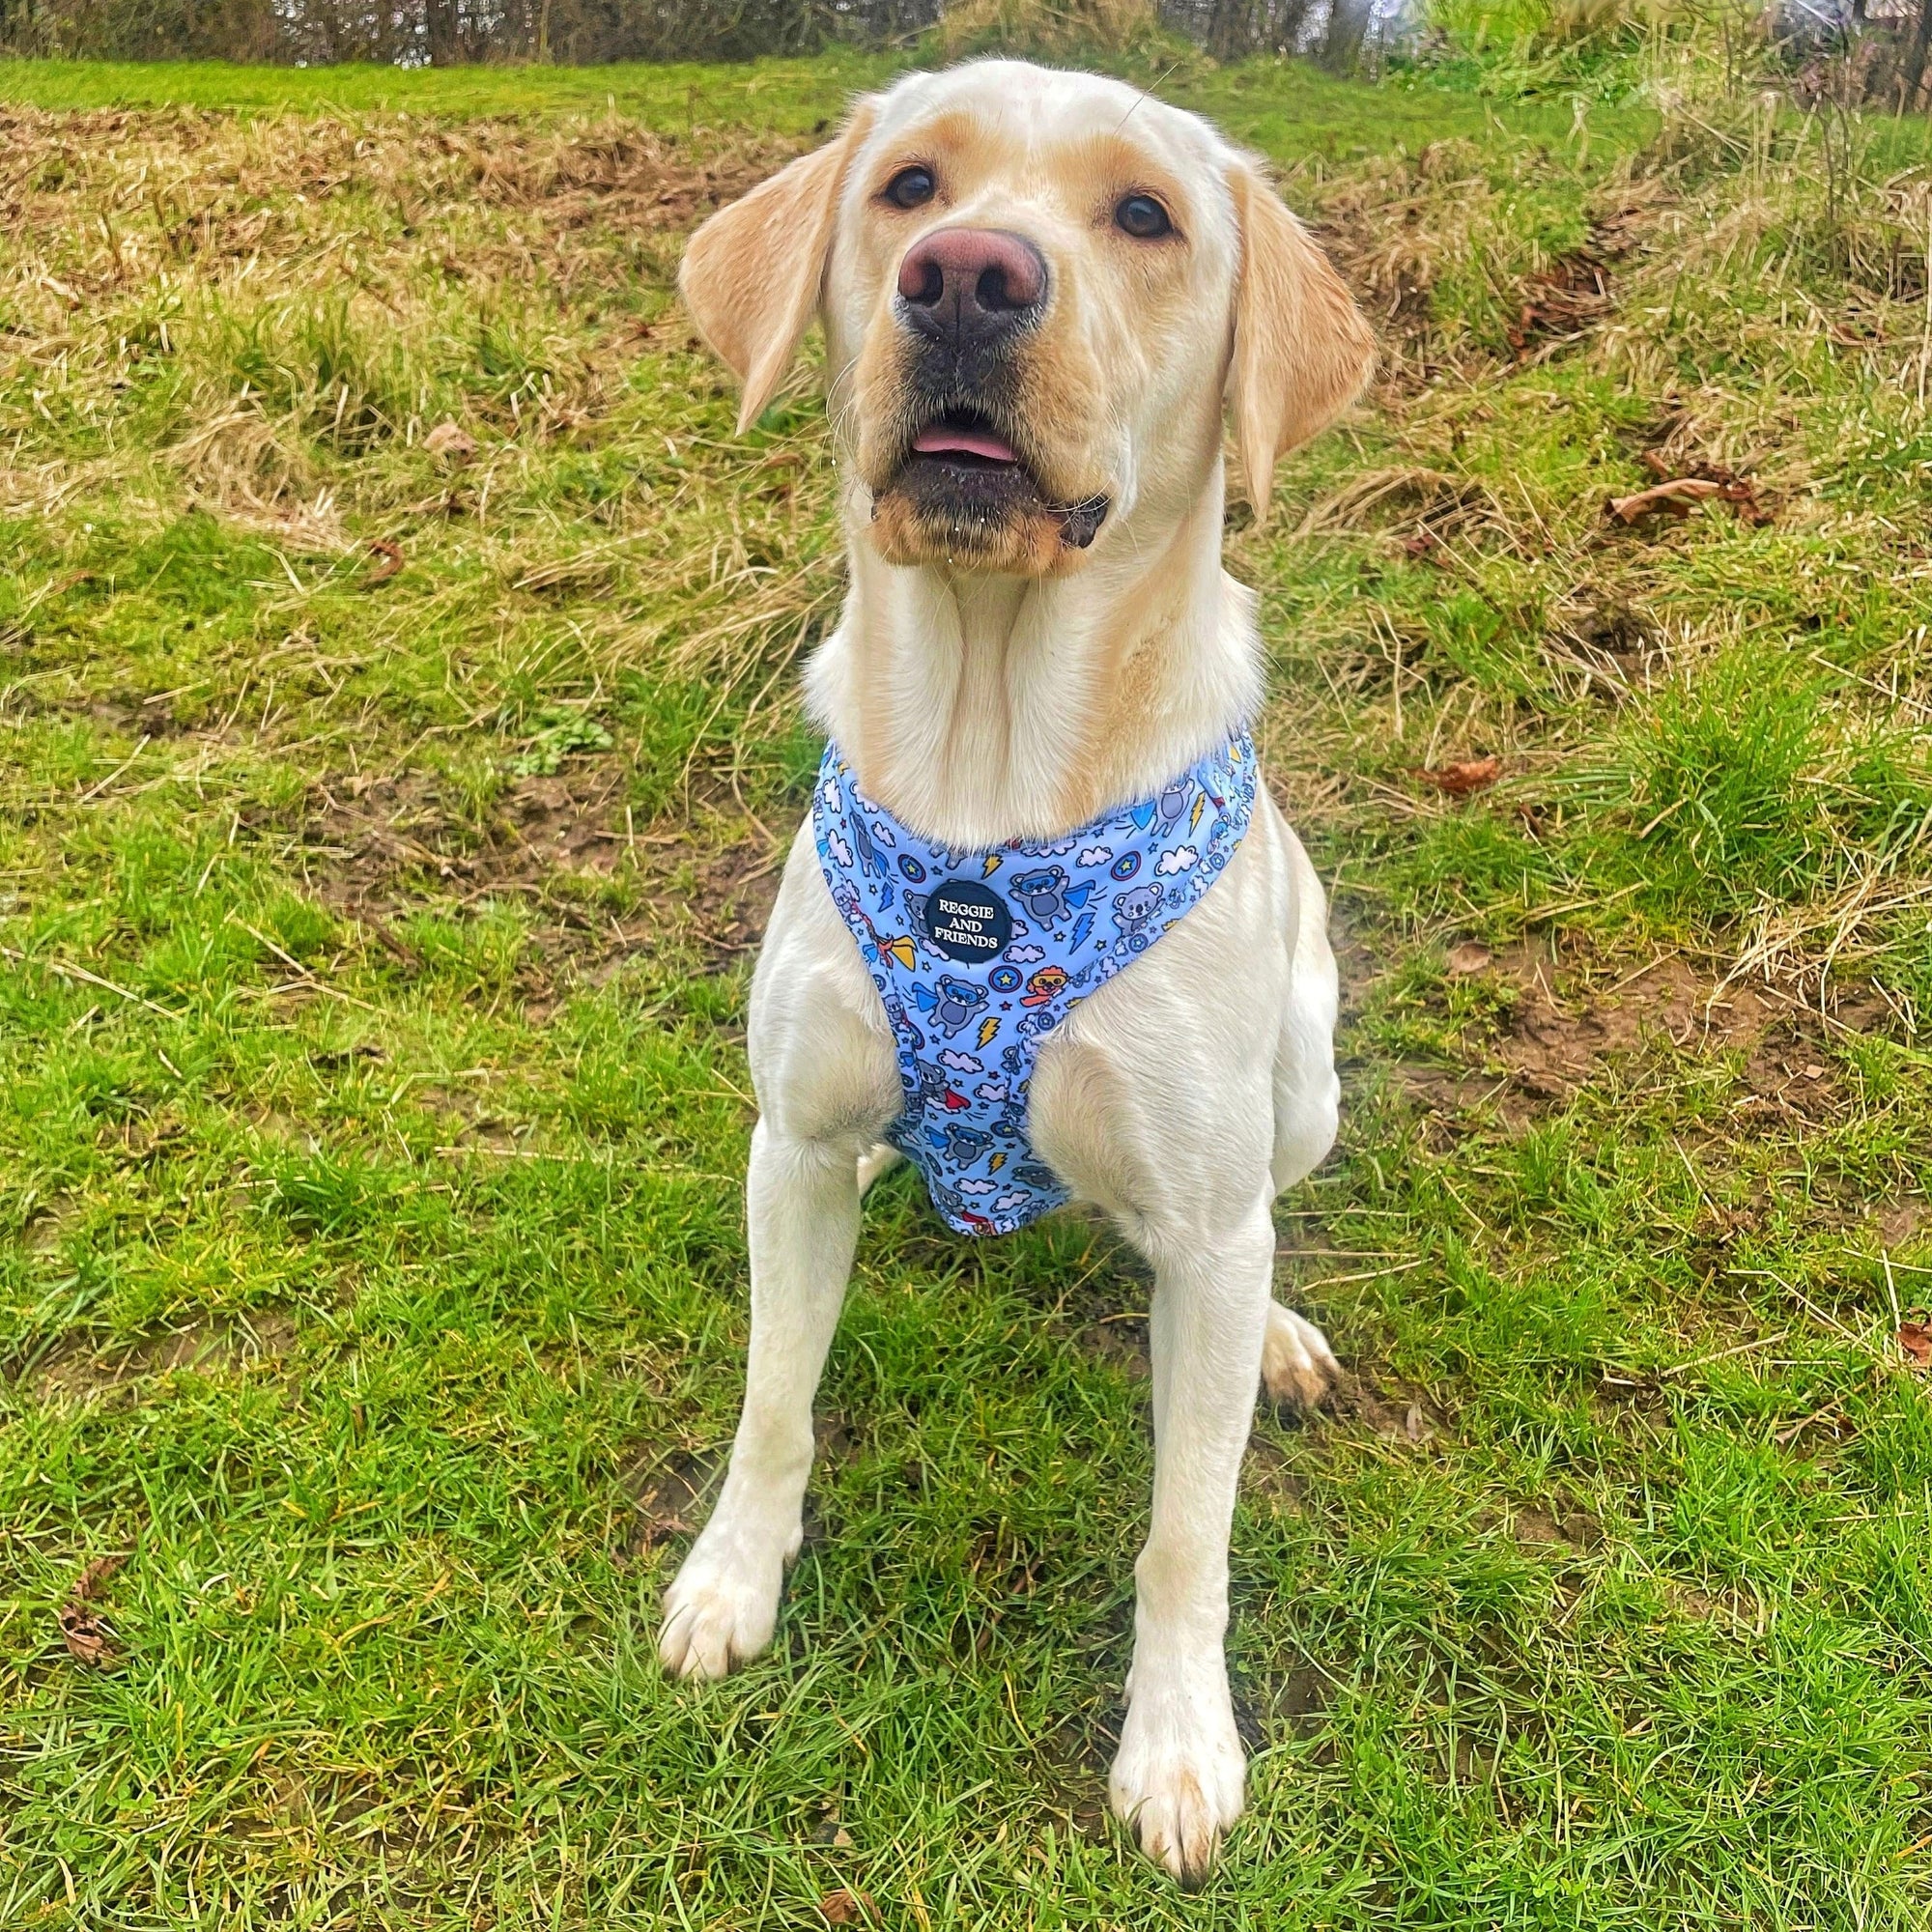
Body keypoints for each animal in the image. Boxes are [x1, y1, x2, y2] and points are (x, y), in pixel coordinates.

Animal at [665, 60, 1376, 1886]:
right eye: (909, 187)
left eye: (1146, 216)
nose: (969, 279)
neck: (989, 800)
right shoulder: (793, 1140)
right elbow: (774, 1401)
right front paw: (730, 1576)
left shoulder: (1206, 1207)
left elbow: (1188, 1533)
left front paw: (1180, 1746)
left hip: (1305, 1075)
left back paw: (1279, 1325)